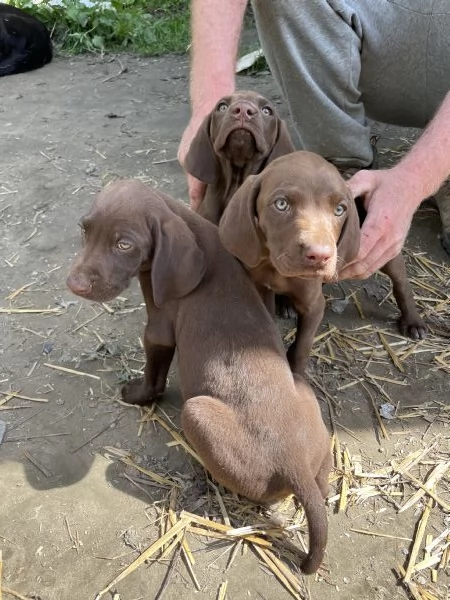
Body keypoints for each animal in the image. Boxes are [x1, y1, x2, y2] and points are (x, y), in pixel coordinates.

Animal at [67, 179, 334, 576]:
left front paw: (134, 394)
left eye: (124, 244)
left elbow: (153, 377)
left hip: (195, 412)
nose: (75, 284)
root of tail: (295, 465)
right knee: (323, 474)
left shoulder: (159, 329)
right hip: (302, 392)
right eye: (85, 230)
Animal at [220, 150, 428, 376]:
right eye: (281, 204)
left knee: (401, 282)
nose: (320, 256)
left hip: (387, 253)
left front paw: (297, 376)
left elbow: (302, 347)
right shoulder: (260, 287)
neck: (276, 269)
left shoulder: (314, 306)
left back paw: (413, 321)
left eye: (339, 209)